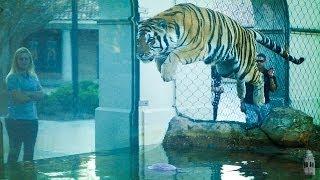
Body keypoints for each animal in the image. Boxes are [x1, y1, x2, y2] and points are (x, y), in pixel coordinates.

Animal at [136, 3, 304, 105]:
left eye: (150, 40)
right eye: (138, 40)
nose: (139, 55)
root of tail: (248, 31)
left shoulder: (195, 47)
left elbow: (173, 55)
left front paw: (167, 75)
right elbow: (160, 60)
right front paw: (166, 73)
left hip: (245, 66)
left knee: (260, 76)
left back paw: (259, 100)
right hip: (225, 69)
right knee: (239, 78)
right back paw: (241, 94)